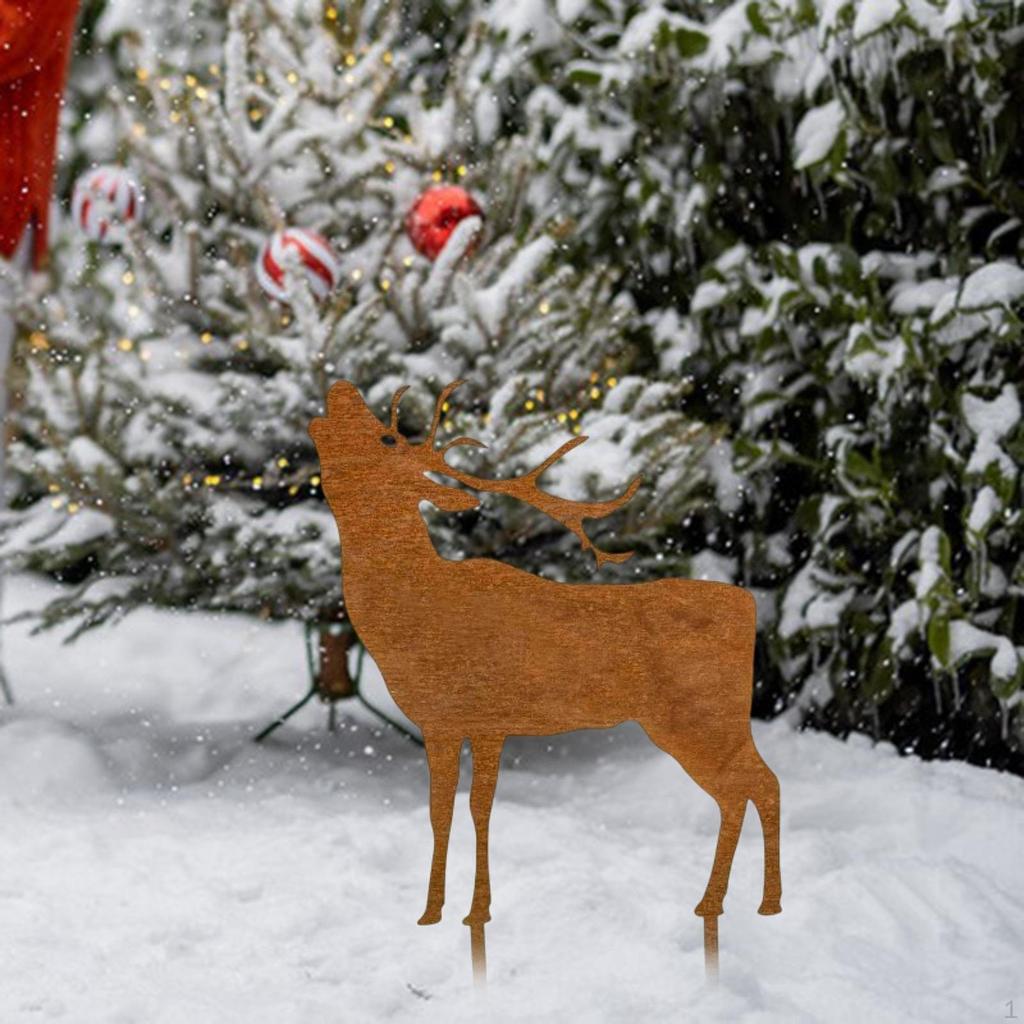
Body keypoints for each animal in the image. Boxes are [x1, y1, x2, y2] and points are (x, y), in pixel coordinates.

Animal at [309, 379, 781, 973]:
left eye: (386, 437)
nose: (340, 386)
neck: (416, 616)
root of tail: (749, 607)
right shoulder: (445, 722)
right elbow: (442, 810)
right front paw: (433, 912)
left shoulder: (481, 715)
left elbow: (476, 808)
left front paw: (475, 914)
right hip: (709, 722)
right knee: (746, 789)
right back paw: (725, 905)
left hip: (699, 716)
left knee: (758, 784)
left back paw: (755, 905)